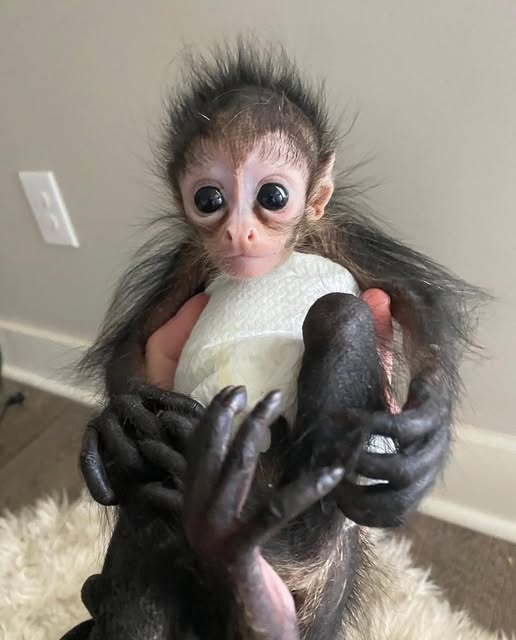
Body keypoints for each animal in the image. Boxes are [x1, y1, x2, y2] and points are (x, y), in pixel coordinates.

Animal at [64, 41, 488, 639]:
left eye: (273, 195)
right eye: (209, 198)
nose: (238, 232)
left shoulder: (337, 234)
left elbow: (412, 303)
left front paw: (429, 422)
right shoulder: (190, 257)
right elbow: (135, 341)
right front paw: (127, 414)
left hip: (328, 578)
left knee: (339, 314)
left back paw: (265, 550)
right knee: (145, 528)